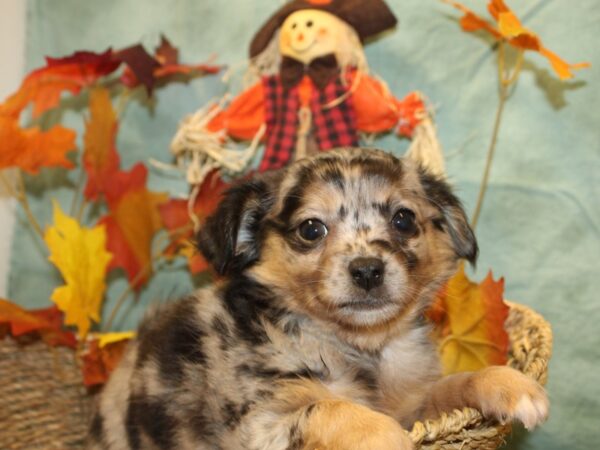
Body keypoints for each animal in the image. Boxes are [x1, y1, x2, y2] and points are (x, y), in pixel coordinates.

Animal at [88, 149, 548, 450]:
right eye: (311, 229)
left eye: (403, 219)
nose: (367, 270)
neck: (358, 349)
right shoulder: (259, 427)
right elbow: (331, 408)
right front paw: (385, 436)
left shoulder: (414, 405)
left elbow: (455, 383)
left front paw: (508, 384)